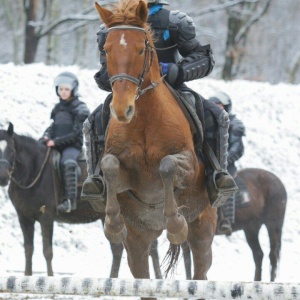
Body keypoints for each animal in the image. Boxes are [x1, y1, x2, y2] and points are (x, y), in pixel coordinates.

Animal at [0, 122, 162, 278]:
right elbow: (28, 250)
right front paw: (27, 276)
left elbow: (47, 251)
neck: (34, 171)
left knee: (146, 247)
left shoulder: (46, 218)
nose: (3, 177)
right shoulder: (24, 218)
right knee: (125, 248)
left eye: (12, 150)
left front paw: (50, 277)